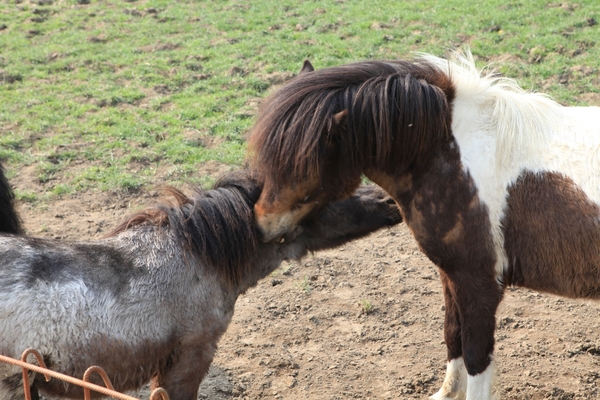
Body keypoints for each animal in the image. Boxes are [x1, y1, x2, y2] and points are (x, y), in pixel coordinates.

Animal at [247, 54, 600, 400]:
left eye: (303, 162)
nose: (261, 223)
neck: (449, 157)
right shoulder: (451, 274)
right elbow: (452, 335)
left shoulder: (479, 284)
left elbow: (476, 358)